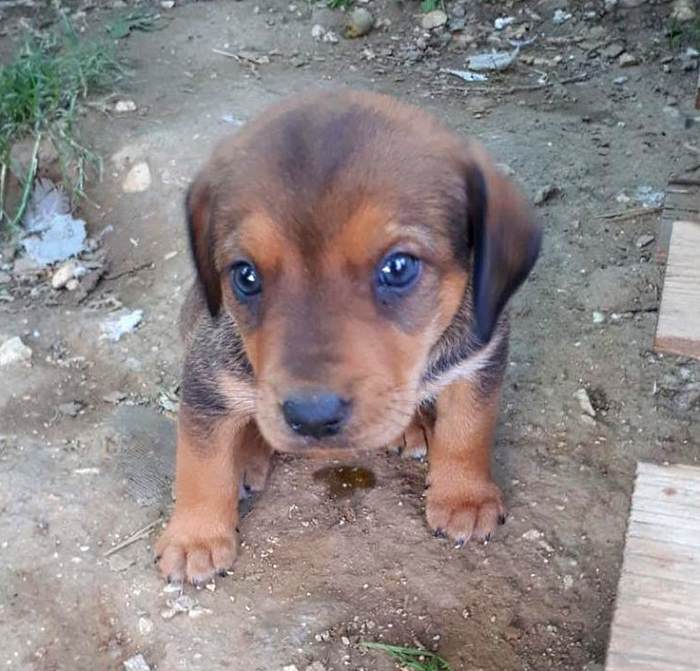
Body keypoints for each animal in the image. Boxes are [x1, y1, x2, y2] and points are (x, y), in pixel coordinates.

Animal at [157, 90, 540, 588]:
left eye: (398, 267)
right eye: (245, 275)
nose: (312, 418)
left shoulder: (480, 355)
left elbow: (469, 429)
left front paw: (465, 497)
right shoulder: (207, 377)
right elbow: (200, 464)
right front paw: (195, 537)